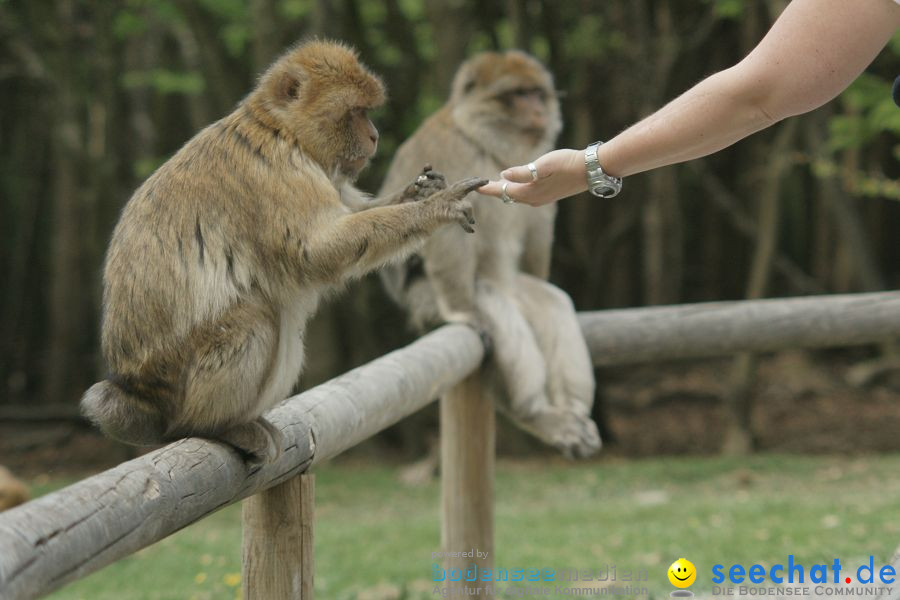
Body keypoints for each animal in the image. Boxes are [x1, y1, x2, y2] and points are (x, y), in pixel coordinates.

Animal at [81, 41, 486, 464]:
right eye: (356, 112)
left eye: (368, 112)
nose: (375, 135)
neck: (281, 130)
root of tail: (137, 393)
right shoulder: (279, 172)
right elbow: (316, 251)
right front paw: (435, 207)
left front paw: (422, 191)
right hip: (180, 381)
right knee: (257, 318)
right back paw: (213, 426)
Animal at [378, 51, 596, 458]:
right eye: (519, 95)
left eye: (537, 94)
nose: (538, 110)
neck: (483, 140)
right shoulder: (451, 151)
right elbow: (445, 224)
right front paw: (462, 311)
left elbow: (538, 227)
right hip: (425, 300)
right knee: (494, 306)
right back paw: (539, 414)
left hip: (519, 291)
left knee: (552, 302)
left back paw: (573, 411)